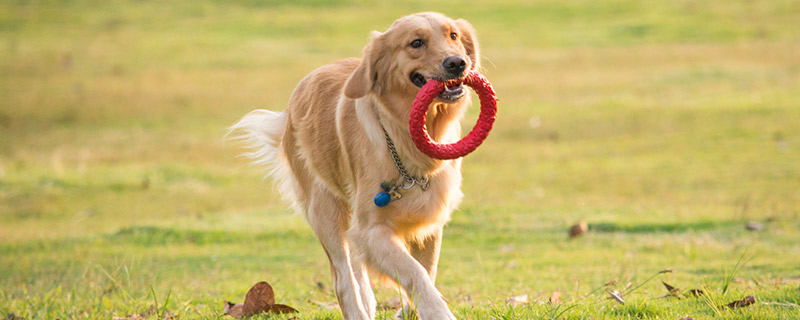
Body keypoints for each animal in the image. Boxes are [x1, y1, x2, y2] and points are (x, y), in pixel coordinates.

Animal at [231, 12, 482, 320]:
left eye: (453, 36)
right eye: (416, 43)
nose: (457, 63)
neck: (405, 140)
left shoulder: (428, 224)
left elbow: (426, 272)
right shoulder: (371, 230)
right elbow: (415, 273)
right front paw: (439, 311)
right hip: (325, 211)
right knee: (344, 279)